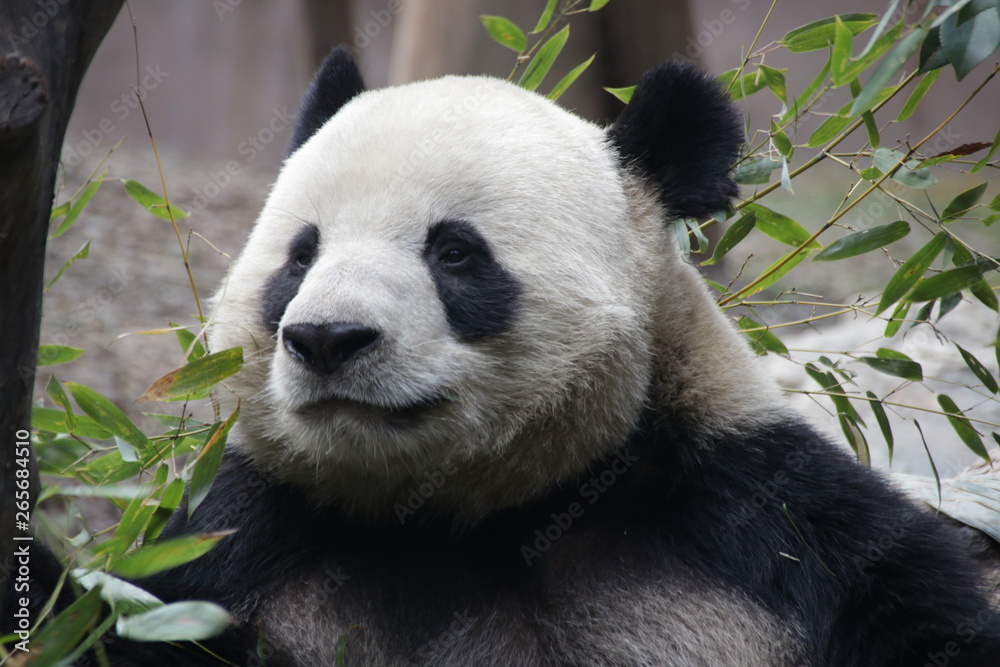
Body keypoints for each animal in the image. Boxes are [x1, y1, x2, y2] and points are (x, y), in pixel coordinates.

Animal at [110, 48, 1000, 665]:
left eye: (455, 253)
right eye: (300, 257)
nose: (328, 337)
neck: (490, 514)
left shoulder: (777, 526)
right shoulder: (238, 545)